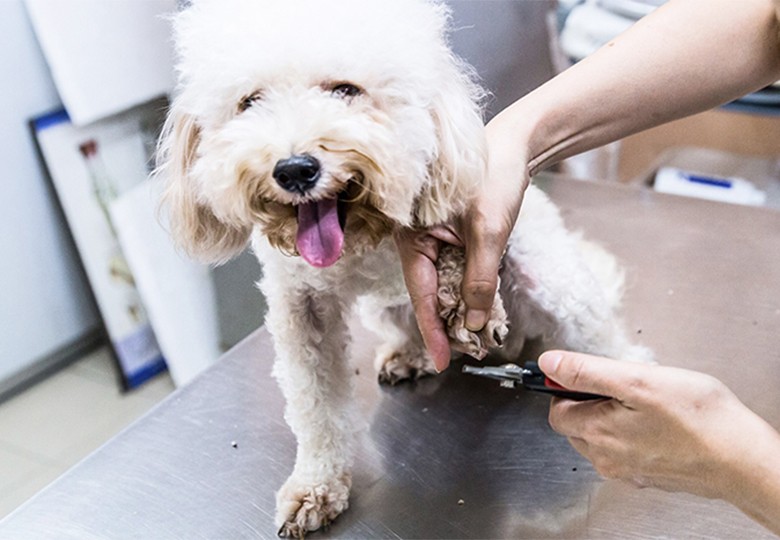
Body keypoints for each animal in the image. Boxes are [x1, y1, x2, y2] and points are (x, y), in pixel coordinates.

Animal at [158, 0, 652, 536]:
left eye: (346, 90)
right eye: (250, 102)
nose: (294, 169)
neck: (361, 237)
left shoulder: (457, 214)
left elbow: (457, 252)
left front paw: (460, 305)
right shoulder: (299, 306)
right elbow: (314, 403)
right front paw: (316, 486)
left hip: (557, 288)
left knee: (604, 341)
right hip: (388, 311)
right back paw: (409, 356)